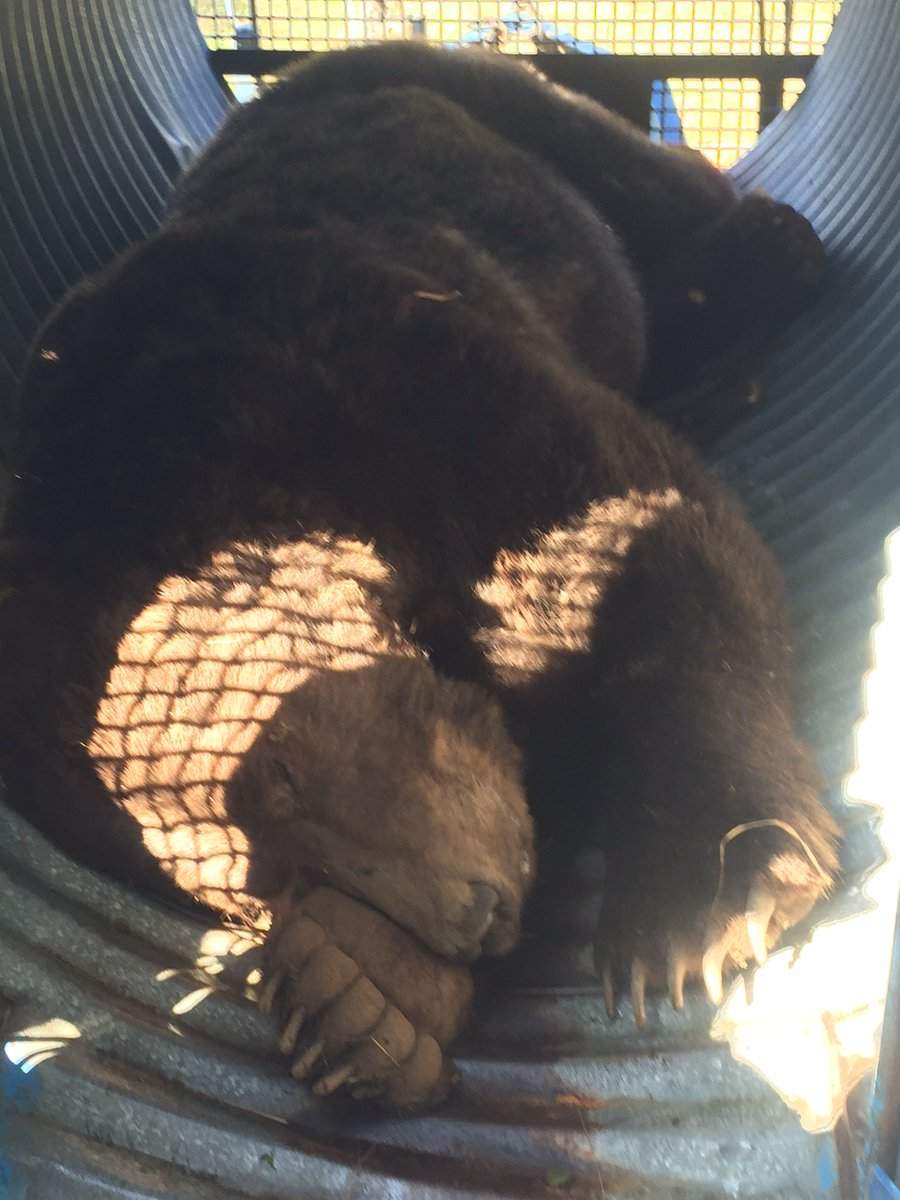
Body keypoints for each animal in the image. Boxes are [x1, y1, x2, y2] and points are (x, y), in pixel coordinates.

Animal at [0, 42, 839, 1104]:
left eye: (282, 777)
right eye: (251, 884)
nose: (469, 916)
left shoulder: (387, 367)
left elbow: (638, 536)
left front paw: (696, 906)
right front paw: (360, 990)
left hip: (498, 117)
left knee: (655, 194)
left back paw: (757, 256)